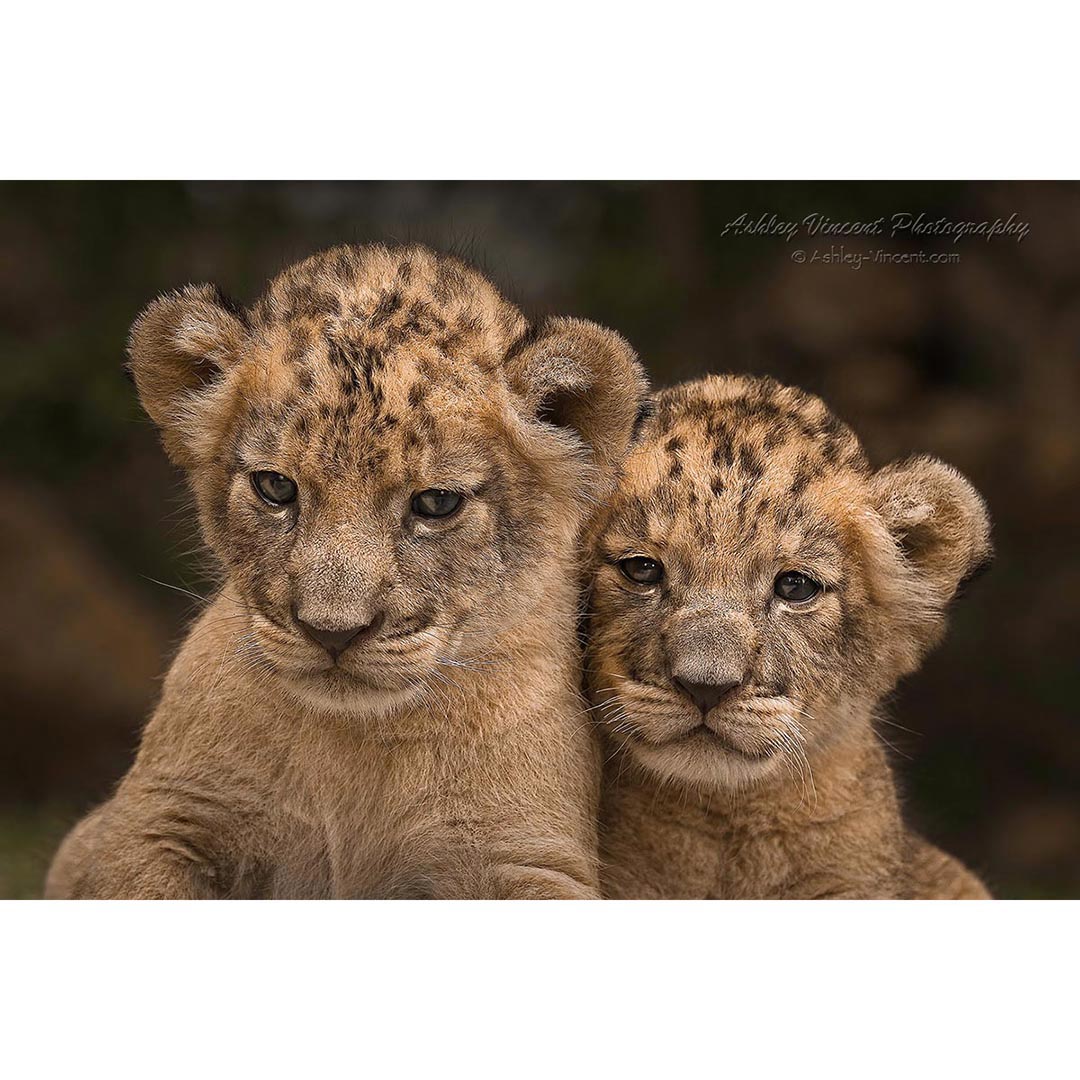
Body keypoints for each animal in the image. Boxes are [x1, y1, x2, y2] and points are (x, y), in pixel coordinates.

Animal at [46, 243, 647, 899]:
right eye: (275, 487)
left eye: (437, 503)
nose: (332, 633)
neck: (352, 744)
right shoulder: (154, 818)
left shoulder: (528, 858)